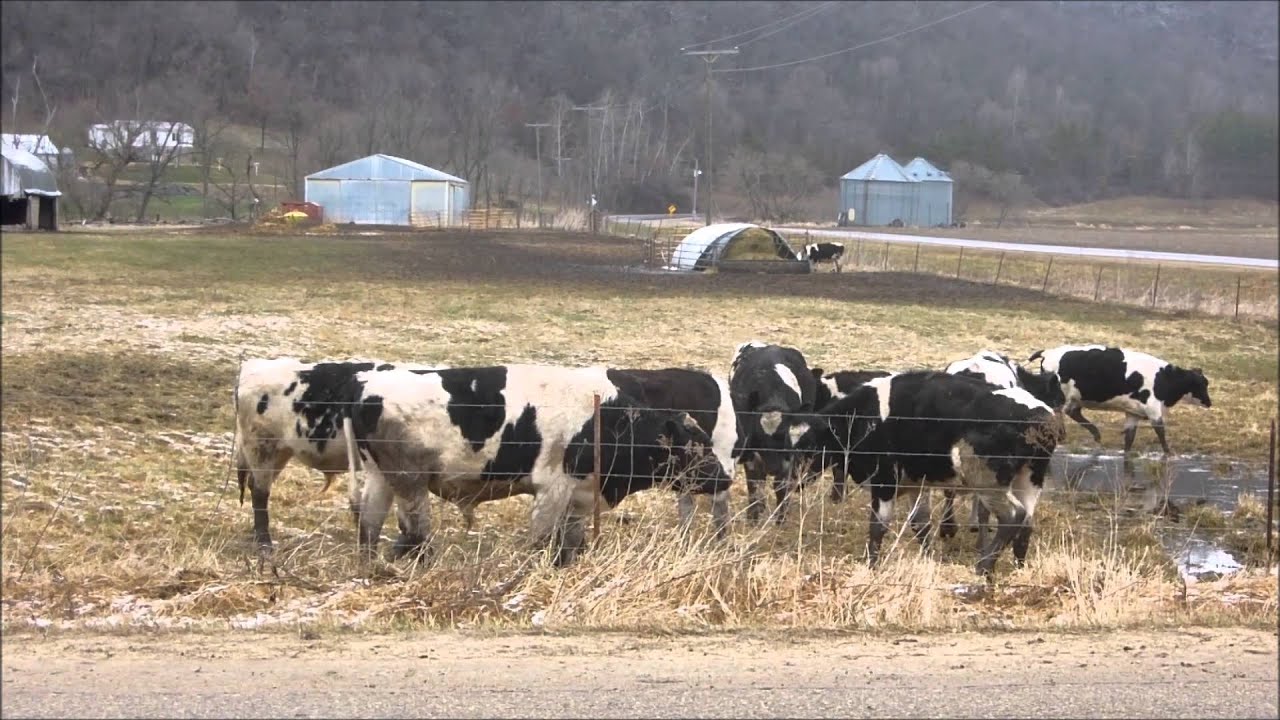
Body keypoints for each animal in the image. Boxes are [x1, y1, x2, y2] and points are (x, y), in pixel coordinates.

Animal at [345, 364, 732, 566]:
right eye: (696, 447)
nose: (725, 479)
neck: (607, 419)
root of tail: (368, 386)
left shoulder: (580, 495)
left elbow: (570, 542)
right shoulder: (552, 488)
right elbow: (542, 540)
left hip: (380, 479)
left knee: (369, 527)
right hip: (409, 482)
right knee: (415, 532)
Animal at [728, 341, 820, 524]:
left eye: (785, 436)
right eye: (758, 437)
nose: (773, 467)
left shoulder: (789, 457)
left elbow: (781, 486)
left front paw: (781, 518)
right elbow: (754, 484)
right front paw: (753, 516)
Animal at [791, 371, 1063, 578]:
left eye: (810, 446)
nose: (793, 482)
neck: (865, 417)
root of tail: (1038, 415)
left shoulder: (885, 481)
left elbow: (878, 526)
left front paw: (872, 565)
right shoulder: (917, 483)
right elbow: (920, 523)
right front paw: (930, 559)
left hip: (987, 480)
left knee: (1013, 516)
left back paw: (983, 567)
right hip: (1029, 479)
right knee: (1026, 523)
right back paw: (1019, 569)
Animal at [1028, 345, 1211, 455]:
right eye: (1202, 384)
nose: (1209, 402)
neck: (1164, 377)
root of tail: (1048, 352)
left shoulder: (1133, 413)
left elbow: (1129, 437)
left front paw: (1127, 454)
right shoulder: (1153, 408)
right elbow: (1160, 431)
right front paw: (1168, 453)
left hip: (1074, 398)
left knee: (1073, 413)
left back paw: (1095, 434)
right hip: (1060, 397)